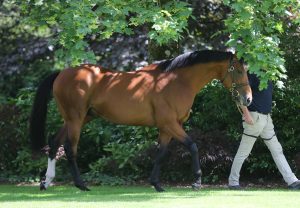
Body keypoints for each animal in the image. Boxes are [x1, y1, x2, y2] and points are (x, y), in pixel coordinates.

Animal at [29, 50, 251, 192]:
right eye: (239, 71)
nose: (248, 99)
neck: (177, 81)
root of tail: (63, 72)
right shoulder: (170, 124)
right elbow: (193, 146)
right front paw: (196, 181)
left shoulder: (167, 128)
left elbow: (161, 153)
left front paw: (156, 184)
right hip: (76, 118)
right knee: (69, 148)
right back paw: (81, 185)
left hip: (78, 118)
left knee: (54, 143)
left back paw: (46, 182)